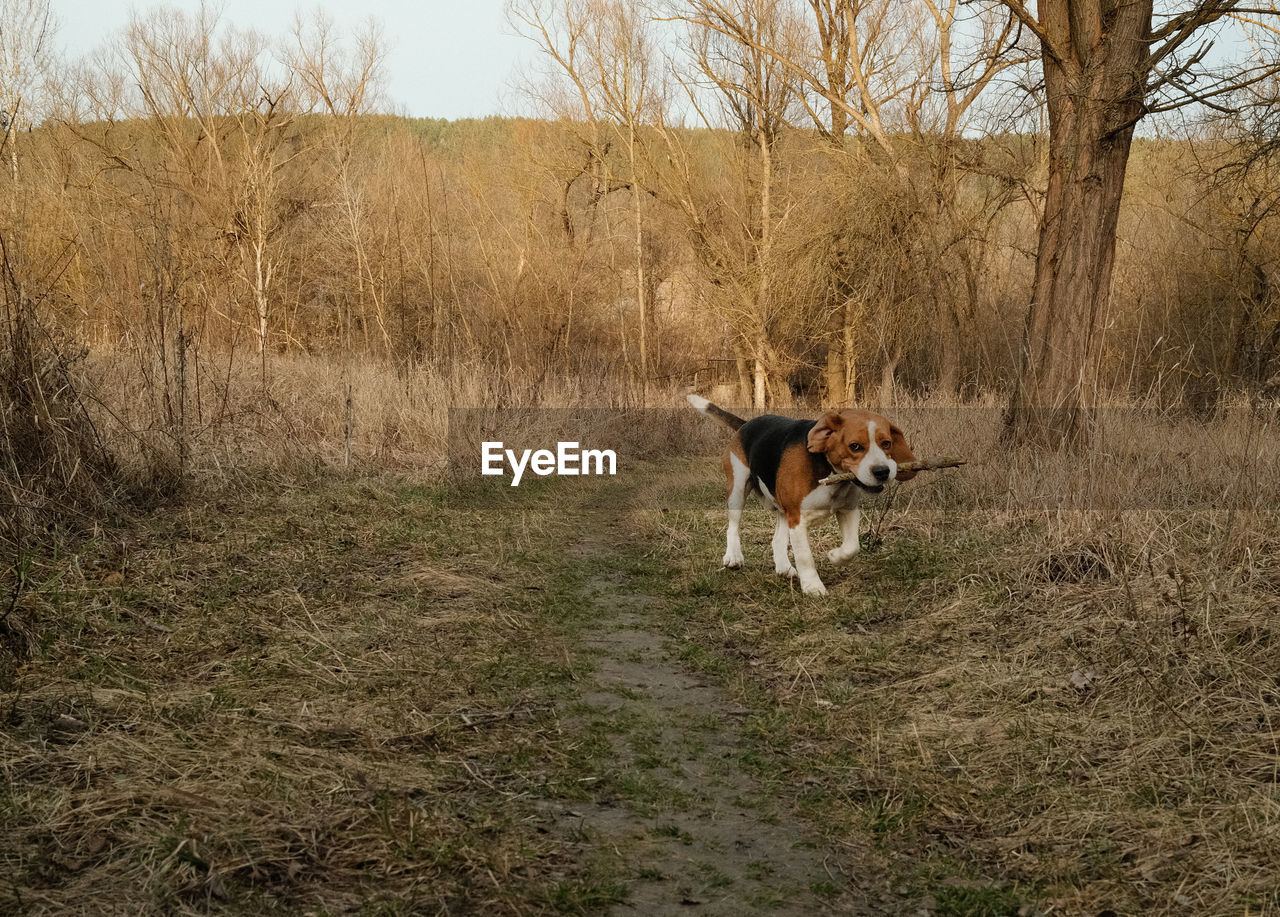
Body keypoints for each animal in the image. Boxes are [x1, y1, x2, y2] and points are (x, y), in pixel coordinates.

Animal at [686, 391, 916, 594]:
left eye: (886, 443)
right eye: (855, 446)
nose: (882, 471)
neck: (829, 471)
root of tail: (745, 424)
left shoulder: (848, 509)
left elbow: (852, 546)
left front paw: (835, 556)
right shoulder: (797, 518)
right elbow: (805, 556)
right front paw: (813, 587)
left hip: (781, 505)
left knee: (777, 539)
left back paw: (783, 567)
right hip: (738, 489)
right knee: (732, 527)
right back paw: (733, 557)